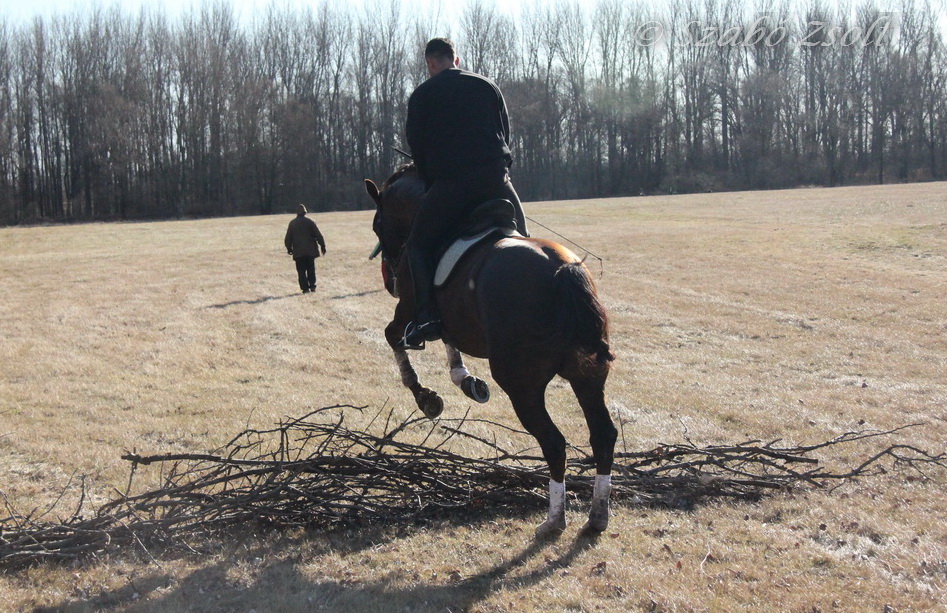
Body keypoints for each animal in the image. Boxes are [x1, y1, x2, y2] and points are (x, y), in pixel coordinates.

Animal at [364, 163, 618, 535]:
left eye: (377, 225)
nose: (389, 280)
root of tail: (561, 270)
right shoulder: (450, 320)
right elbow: (449, 342)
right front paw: (465, 380)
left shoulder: (409, 312)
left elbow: (394, 338)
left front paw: (426, 397)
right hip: (587, 376)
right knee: (602, 434)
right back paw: (598, 514)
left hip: (521, 384)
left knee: (554, 443)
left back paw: (554, 520)